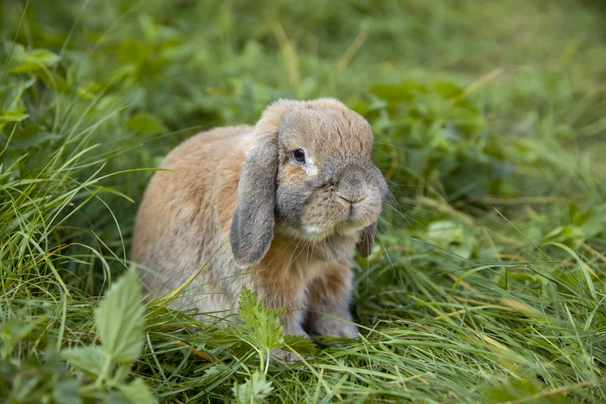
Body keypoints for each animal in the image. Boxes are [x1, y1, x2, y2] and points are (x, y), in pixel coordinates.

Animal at [133, 97, 390, 360]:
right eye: (299, 155)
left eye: (368, 153)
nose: (354, 194)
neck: (306, 242)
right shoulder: (269, 290)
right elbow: (279, 321)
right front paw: (292, 355)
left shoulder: (331, 280)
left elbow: (331, 312)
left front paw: (344, 337)